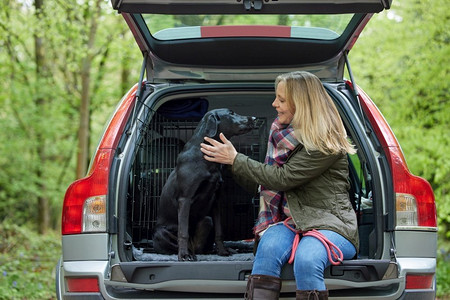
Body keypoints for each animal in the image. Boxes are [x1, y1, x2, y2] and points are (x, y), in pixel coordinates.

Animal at [152, 108, 255, 260]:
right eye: (231, 113)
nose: (253, 118)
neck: (205, 158)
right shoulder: (185, 199)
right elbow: (183, 232)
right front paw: (183, 256)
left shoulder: (216, 199)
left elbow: (219, 231)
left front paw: (222, 251)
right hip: (161, 233)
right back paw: (188, 253)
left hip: (206, 220)